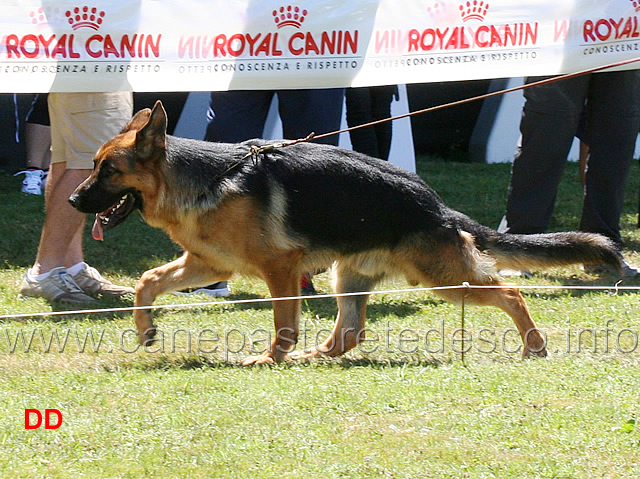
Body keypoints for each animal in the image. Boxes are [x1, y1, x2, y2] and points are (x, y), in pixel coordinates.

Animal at [69, 100, 620, 364]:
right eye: (94, 166)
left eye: (108, 171)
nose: (73, 201)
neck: (205, 178)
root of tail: (437, 205)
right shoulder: (206, 264)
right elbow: (147, 281)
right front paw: (145, 329)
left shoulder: (280, 269)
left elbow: (284, 323)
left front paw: (268, 359)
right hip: (347, 276)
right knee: (348, 334)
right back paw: (314, 357)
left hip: (444, 280)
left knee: (511, 293)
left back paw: (534, 345)